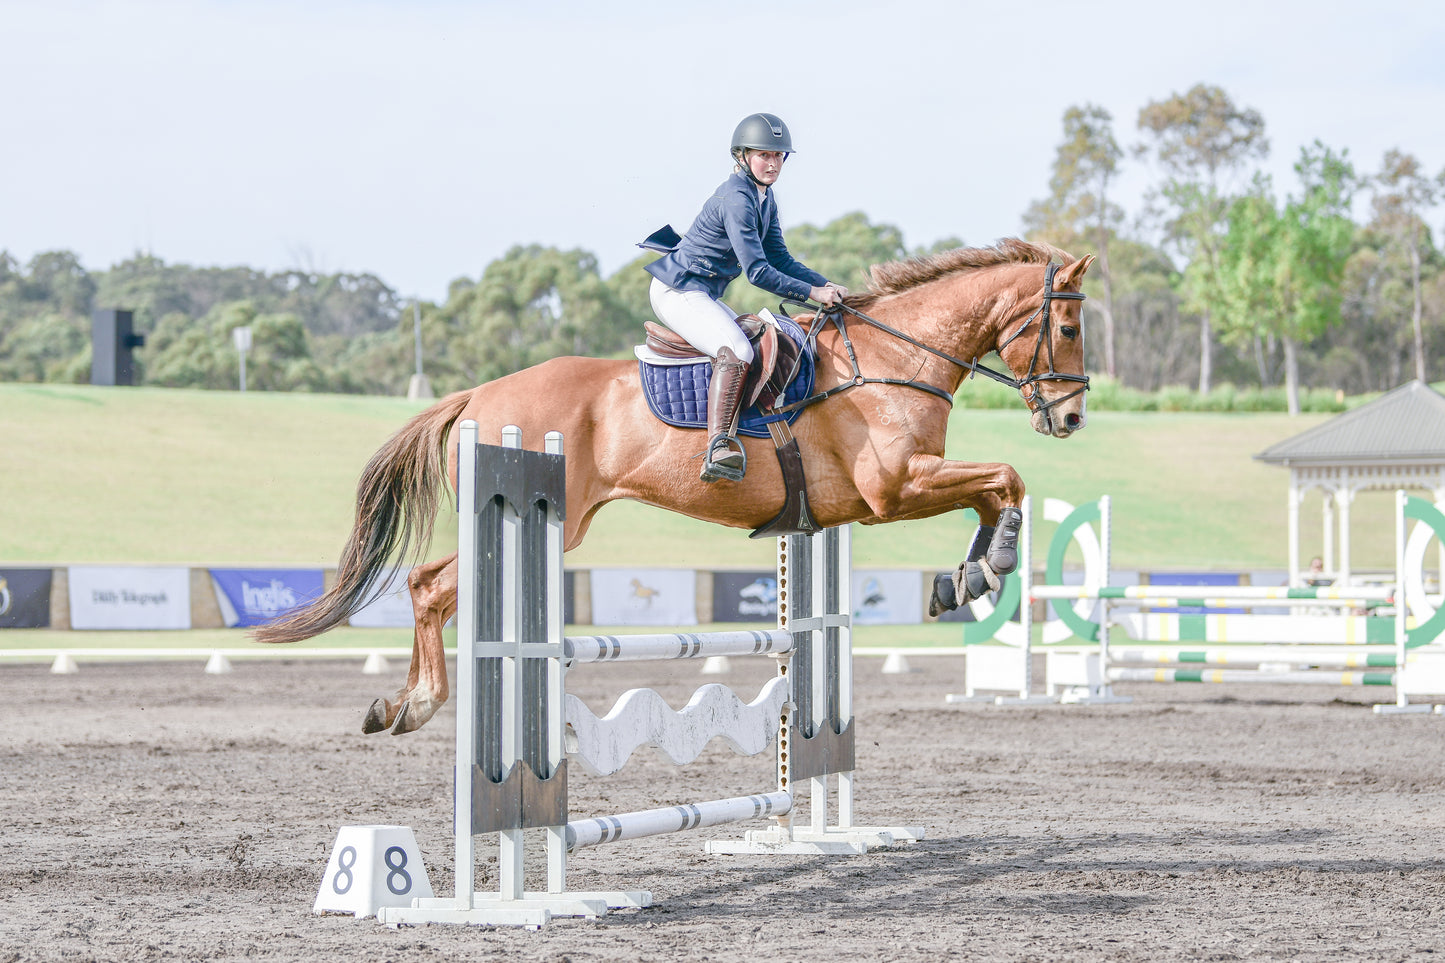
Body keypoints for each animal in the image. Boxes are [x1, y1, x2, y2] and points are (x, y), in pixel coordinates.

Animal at [260, 238, 1092, 728]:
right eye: (1069, 326)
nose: (1073, 416)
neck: (891, 359)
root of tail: (478, 393)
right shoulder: (892, 491)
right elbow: (1006, 479)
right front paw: (991, 562)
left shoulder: (899, 491)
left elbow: (994, 488)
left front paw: (965, 576)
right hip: (549, 518)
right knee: (433, 588)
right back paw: (420, 702)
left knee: (422, 580)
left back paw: (396, 701)